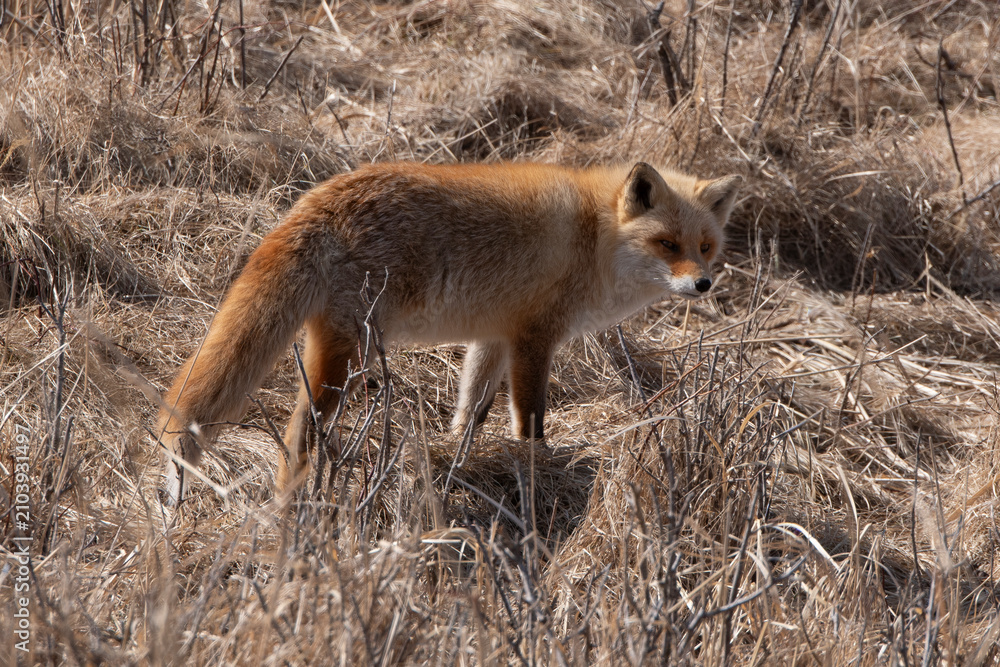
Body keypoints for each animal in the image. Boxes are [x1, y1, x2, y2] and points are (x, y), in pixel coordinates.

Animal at [156, 161, 740, 503]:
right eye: (667, 244)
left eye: (705, 246)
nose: (704, 283)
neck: (593, 239)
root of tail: (318, 198)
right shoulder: (534, 337)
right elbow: (531, 419)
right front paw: (537, 467)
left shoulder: (493, 336)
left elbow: (470, 408)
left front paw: (459, 455)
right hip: (350, 352)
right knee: (300, 428)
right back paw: (294, 498)